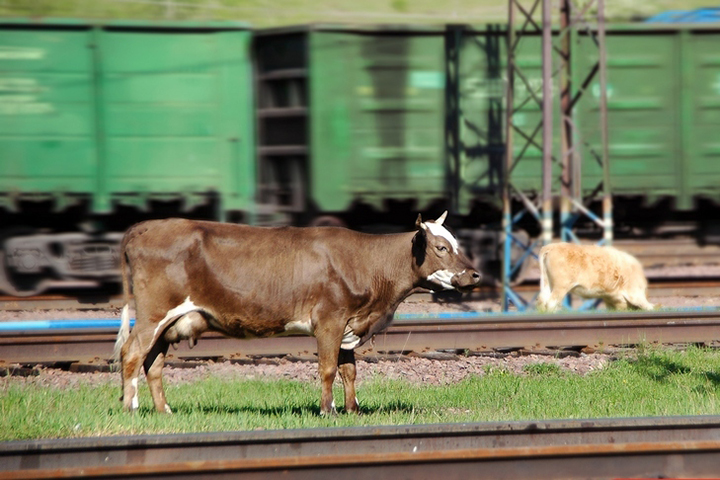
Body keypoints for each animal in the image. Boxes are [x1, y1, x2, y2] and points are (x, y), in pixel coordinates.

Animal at [112, 212, 478, 414]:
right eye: (441, 247)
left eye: (457, 244)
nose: (474, 275)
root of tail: (142, 227)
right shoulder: (330, 319)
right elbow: (328, 369)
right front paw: (328, 410)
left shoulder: (347, 325)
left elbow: (349, 371)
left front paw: (353, 409)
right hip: (153, 313)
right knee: (132, 353)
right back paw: (131, 407)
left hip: (166, 322)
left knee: (154, 361)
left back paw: (165, 410)